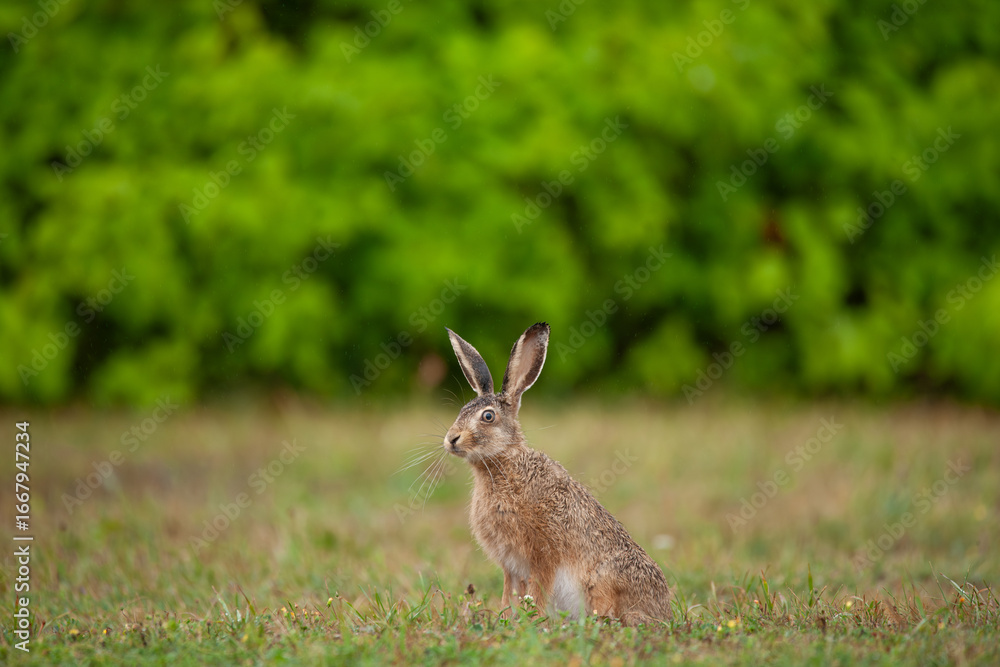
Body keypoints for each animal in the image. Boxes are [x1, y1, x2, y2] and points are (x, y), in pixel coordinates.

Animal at [443, 322, 672, 626]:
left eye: (488, 416)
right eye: (461, 410)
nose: (451, 439)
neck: (503, 464)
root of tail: (664, 610)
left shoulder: (544, 553)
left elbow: (538, 590)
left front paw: (532, 620)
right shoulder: (510, 565)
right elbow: (508, 594)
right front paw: (507, 619)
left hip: (604, 580)